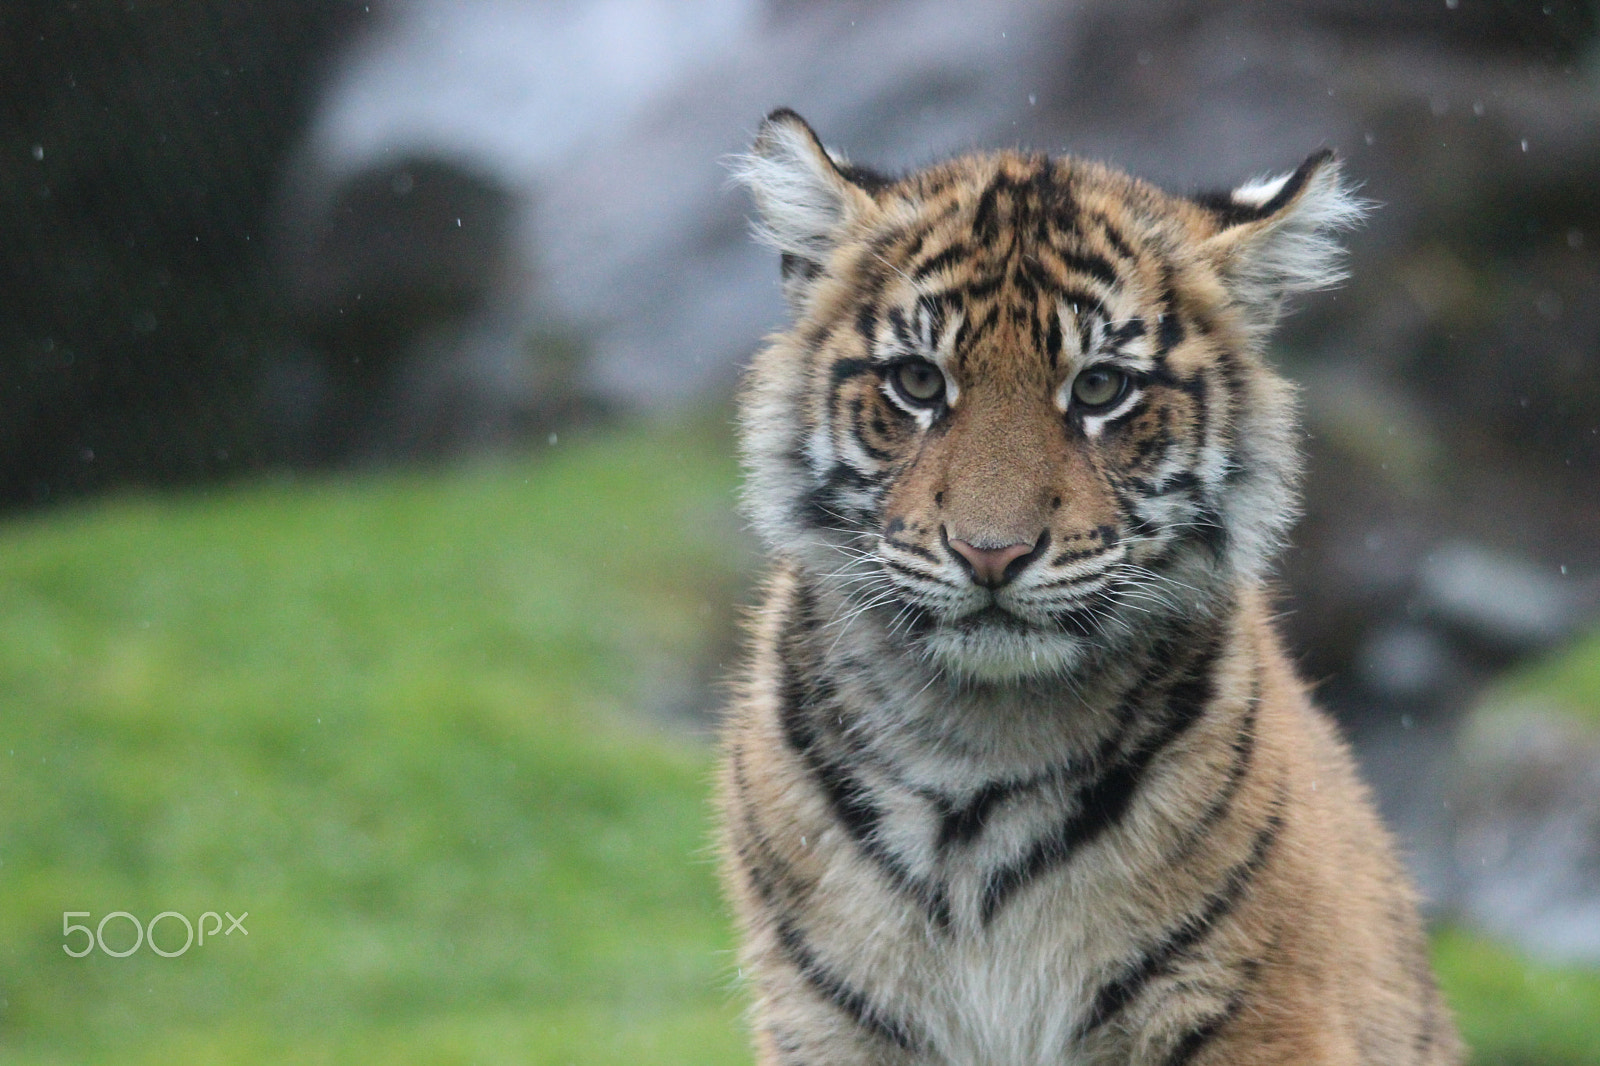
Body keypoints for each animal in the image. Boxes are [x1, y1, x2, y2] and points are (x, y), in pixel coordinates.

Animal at [716, 108, 1461, 1066]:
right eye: (918, 381)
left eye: (1101, 387)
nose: (991, 553)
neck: (977, 745)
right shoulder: (829, 1023)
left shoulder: (1253, 1016)